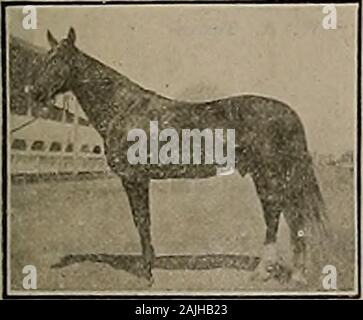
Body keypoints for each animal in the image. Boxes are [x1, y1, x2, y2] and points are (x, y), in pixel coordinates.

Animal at [29, 27, 328, 284]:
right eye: (44, 59)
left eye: (58, 60)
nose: (32, 92)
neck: (124, 108)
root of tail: (286, 112)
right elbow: (142, 222)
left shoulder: (134, 178)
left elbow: (142, 222)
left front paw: (148, 273)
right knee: (292, 216)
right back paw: (295, 274)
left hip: (269, 175)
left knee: (276, 215)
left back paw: (265, 271)